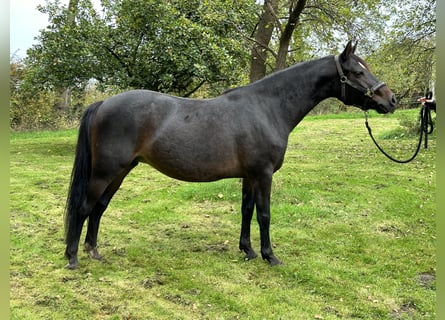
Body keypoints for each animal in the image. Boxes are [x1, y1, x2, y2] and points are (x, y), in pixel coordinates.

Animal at [63, 41, 396, 268]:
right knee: (84, 207)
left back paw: (93, 251)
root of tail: (103, 103)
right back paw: (73, 258)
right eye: (357, 71)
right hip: (105, 172)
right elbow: (264, 213)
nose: (391, 99)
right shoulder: (263, 174)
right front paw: (270, 256)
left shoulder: (249, 176)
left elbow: (246, 211)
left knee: (99, 208)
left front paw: (247, 250)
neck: (267, 108)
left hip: (120, 172)